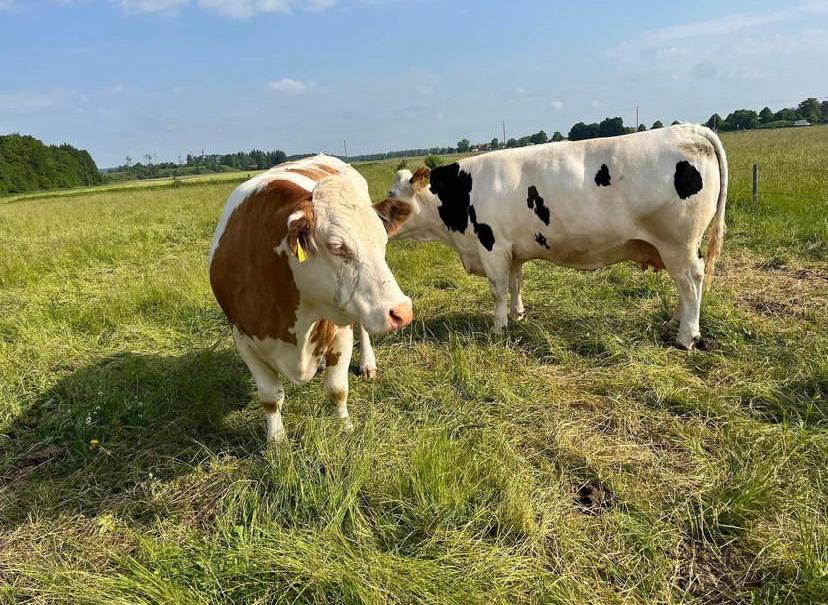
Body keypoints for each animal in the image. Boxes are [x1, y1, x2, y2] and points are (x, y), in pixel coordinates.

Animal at [210, 153, 410, 442]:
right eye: (337, 247)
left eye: (383, 241)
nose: (403, 311)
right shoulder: (243, 337)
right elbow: (270, 396)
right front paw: (276, 440)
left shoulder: (340, 329)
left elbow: (337, 389)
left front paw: (345, 427)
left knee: (363, 328)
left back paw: (367, 364)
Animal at [360, 124, 724, 372]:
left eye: (392, 195)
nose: (372, 215)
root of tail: (690, 128)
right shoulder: (513, 249)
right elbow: (517, 281)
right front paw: (519, 314)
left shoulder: (491, 245)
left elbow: (498, 289)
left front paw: (498, 327)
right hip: (677, 247)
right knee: (687, 284)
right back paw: (677, 320)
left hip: (678, 243)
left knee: (691, 281)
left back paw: (687, 335)